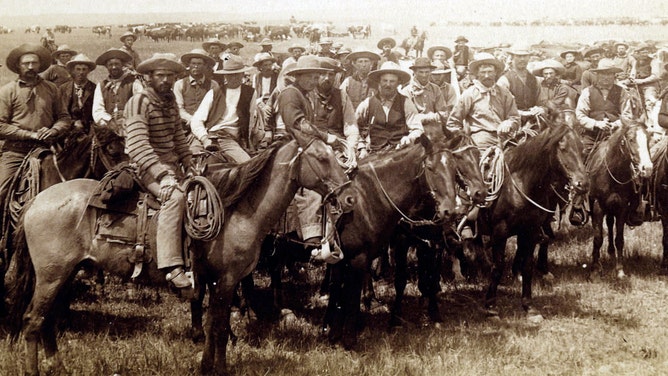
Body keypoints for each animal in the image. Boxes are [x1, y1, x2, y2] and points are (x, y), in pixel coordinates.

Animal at [7, 136, 350, 376]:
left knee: (48, 319)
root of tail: (36, 201)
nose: (347, 196)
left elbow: (215, 326)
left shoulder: (219, 282)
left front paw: (209, 365)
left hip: (66, 274)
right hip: (51, 276)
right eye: (322, 158)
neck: (239, 209)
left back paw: (57, 365)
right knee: (32, 320)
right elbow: (219, 328)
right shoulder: (226, 281)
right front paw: (216, 368)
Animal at [322, 134, 460, 346]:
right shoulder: (369, 252)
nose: (449, 211)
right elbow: (353, 290)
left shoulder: (431, 243)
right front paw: (351, 336)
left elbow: (430, 277)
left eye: (454, 168)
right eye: (430, 167)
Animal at [478, 126, 588, 320]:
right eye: (563, 148)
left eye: (583, 150)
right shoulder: (499, 232)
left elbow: (527, 266)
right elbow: (497, 267)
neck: (519, 187)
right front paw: (491, 307)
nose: (582, 184)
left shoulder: (529, 231)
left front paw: (529, 306)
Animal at [588, 121, 652, 280]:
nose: (647, 169)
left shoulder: (622, 208)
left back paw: (611, 252)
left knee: (610, 224)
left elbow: (619, 239)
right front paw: (594, 270)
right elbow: (598, 238)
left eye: (648, 139)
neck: (612, 171)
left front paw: (620, 270)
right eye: (631, 139)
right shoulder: (598, 206)